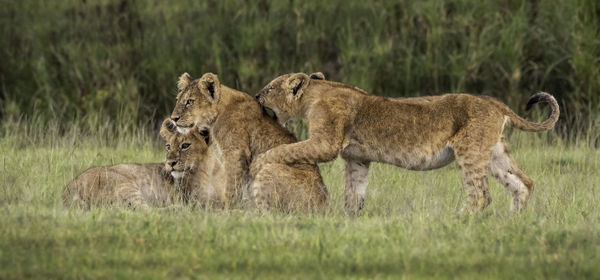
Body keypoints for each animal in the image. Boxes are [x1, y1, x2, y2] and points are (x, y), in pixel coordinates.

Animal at [62, 119, 227, 209]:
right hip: (123, 186)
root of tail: (67, 191)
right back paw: (176, 209)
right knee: (145, 212)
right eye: (168, 146)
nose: (170, 163)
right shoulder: (198, 199)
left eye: (185, 145)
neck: (209, 170)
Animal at [169, 72, 328, 212]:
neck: (218, 113)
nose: (173, 118)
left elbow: (230, 186)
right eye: (177, 99)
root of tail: (325, 207)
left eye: (190, 101)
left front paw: (228, 211)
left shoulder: (235, 152)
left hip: (268, 169)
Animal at [255, 72, 560, 214]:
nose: (256, 96)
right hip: (494, 152)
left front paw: (260, 160)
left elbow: (287, 149)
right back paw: (512, 221)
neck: (315, 94)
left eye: (269, 88)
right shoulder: (357, 158)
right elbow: (354, 193)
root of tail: (495, 103)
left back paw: (457, 219)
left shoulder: (326, 142)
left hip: (469, 150)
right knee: (523, 183)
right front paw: (348, 220)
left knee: (480, 196)